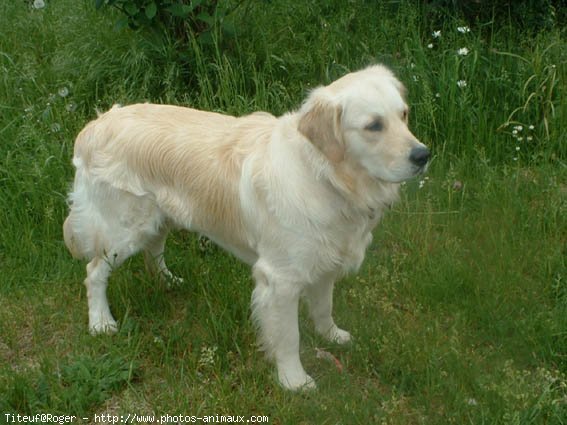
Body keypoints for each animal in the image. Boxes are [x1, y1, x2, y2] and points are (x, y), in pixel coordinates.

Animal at [63, 64, 430, 390]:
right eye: (373, 126)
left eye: (404, 115)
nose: (423, 155)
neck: (325, 176)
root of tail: (97, 123)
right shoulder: (281, 278)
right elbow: (288, 336)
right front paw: (294, 381)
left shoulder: (324, 258)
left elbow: (324, 307)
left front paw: (333, 336)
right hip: (124, 228)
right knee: (94, 273)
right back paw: (101, 322)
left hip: (159, 216)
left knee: (154, 250)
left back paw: (168, 281)